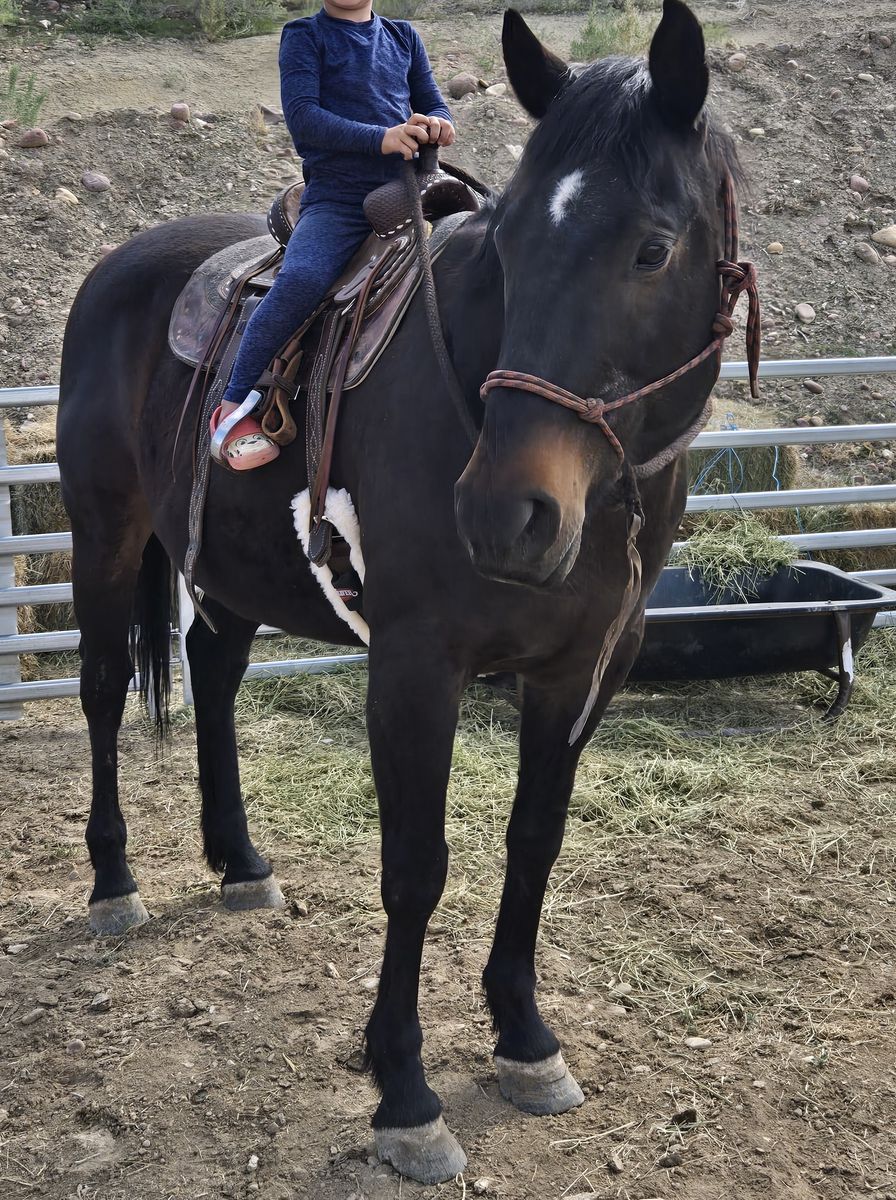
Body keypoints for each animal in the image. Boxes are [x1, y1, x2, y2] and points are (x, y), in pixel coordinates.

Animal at [57, 1, 755, 1183]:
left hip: (231, 569)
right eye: (511, 246)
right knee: (106, 689)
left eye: (652, 248)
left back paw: (239, 860)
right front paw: (405, 1093)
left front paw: (525, 1039)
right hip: (103, 536)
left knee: (212, 674)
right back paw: (115, 886)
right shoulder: (415, 668)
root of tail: (121, 268)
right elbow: (415, 865)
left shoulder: (584, 670)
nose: (506, 514)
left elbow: (534, 840)